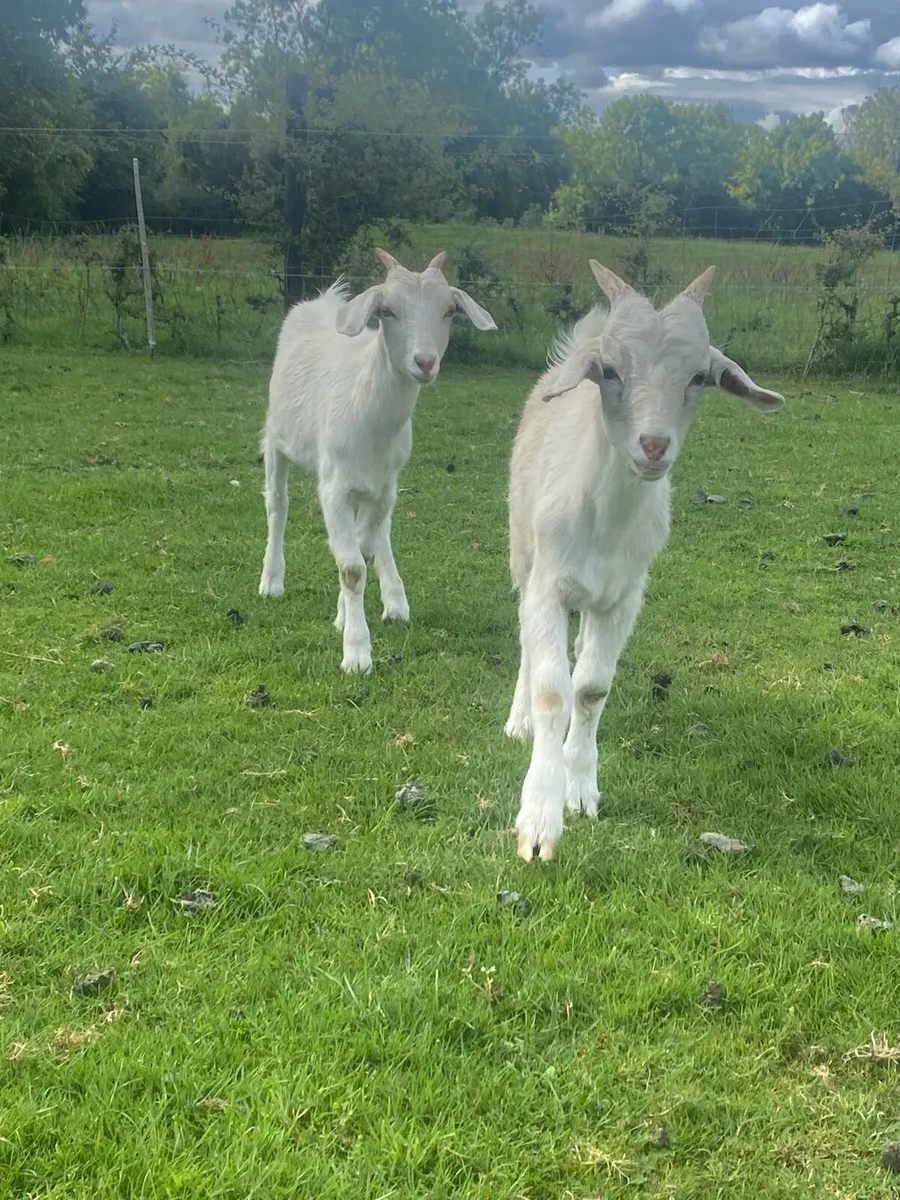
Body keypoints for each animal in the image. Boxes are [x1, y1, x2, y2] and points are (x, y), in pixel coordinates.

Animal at [258, 248, 496, 673]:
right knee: (277, 505)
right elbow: (352, 567)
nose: (424, 362)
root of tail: (323, 300)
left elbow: (363, 549)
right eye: (387, 311)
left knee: (376, 533)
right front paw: (356, 652)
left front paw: (346, 616)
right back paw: (271, 580)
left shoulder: (385, 486)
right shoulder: (334, 487)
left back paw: (394, 601)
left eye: (449, 311)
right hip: (276, 437)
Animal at [505, 260, 785, 862]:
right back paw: (517, 721)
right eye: (610, 369)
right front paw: (538, 821)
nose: (653, 446)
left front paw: (578, 788)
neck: (604, 520)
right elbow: (550, 688)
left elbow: (590, 687)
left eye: (699, 377)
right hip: (522, 552)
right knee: (526, 646)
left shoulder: (625, 597)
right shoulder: (547, 584)